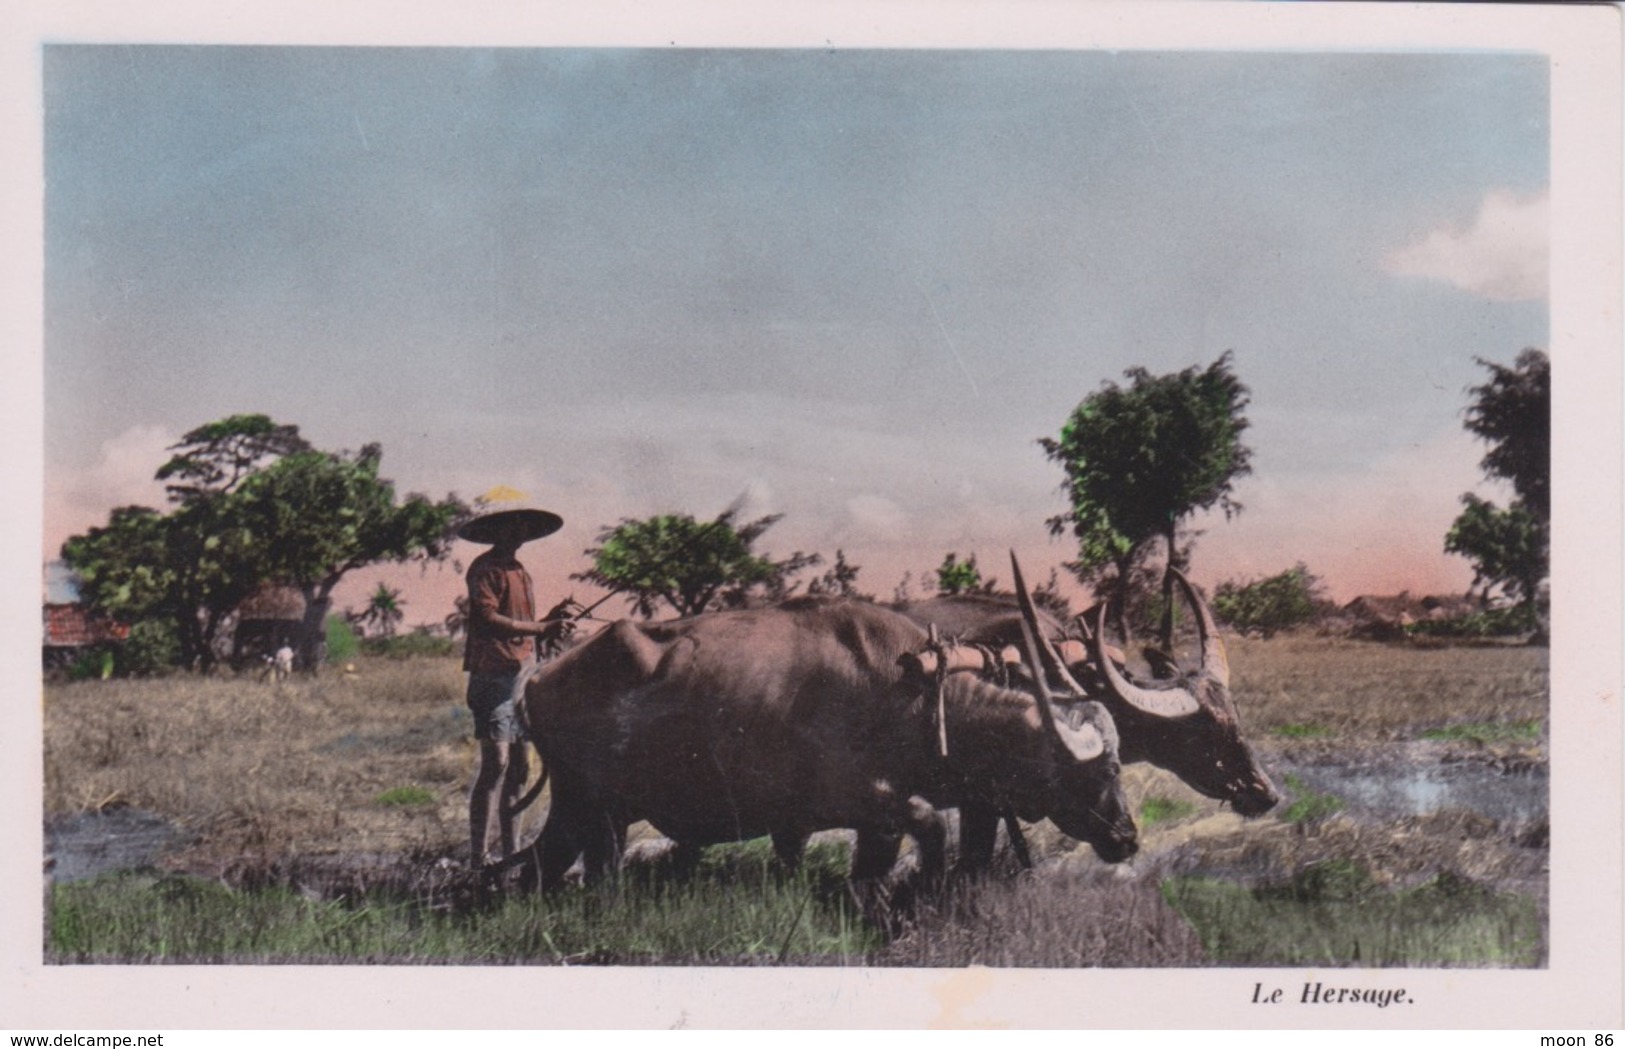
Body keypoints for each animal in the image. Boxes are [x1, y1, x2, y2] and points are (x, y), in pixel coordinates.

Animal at [513, 600, 1137, 896]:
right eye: (1104, 770)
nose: (1129, 838)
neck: (908, 692)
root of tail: (540, 677)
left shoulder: (870, 822)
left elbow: (874, 869)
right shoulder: (865, 800)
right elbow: (933, 828)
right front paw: (922, 887)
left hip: (582, 809)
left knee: (540, 867)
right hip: (596, 812)